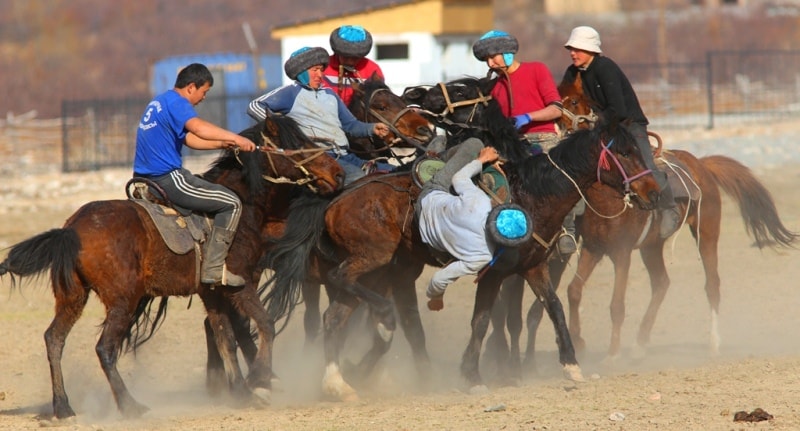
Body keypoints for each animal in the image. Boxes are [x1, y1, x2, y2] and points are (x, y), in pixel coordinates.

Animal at [0, 113, 342, 420]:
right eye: (296, 144)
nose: (337, 172)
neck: (243, 210)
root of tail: (71, 230)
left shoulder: (212, 293)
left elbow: (226, 338)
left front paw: (241, 391)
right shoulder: (241, 285)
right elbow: (265, 325)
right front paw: (260, 381)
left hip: (72, 297)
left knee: (54, 340)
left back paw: (63, 407)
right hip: (123, 301)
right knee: (104, 349)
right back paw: (130, 407)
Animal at [262, 75, 664, 402]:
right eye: (624, 152)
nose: (654, 192)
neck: (529, 194)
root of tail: (338, 197)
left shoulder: (533, 267)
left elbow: (553, 308)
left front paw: (571, 364)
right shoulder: (493, 273)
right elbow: (483, 320)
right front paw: (473, 375)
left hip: (376, 272)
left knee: (336, 317)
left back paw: (338, 382)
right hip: (370, 261)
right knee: (343, 288)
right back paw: (374, 336)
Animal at [484, 76, 796, 380]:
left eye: (571, 101)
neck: (605, 198)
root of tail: (702, 165)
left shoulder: (621, 253)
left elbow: (616, 305)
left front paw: (611, 356)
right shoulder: (594, 248)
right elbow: (574, 291)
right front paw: (581, 343)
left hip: (706, 232)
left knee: (712, 285)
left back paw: (713, 344)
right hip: (652, 246)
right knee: (661, 283)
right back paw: (639, 346)